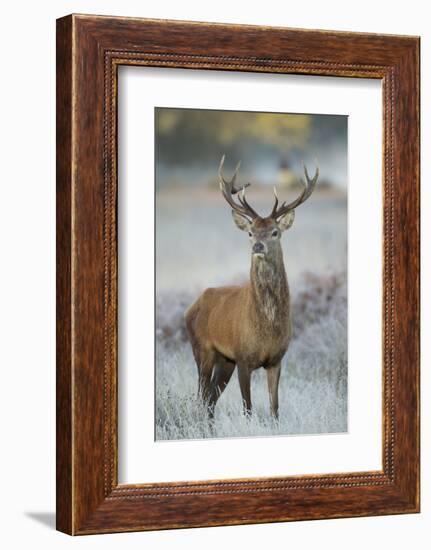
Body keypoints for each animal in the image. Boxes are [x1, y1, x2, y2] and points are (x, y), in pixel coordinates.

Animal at [184, 157, 318, 420]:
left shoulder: (276, 359)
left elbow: (275, 409)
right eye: (250, 232)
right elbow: (248, 408)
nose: (257, 246)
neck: (266, 328)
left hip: (225, 361)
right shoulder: (243, 357)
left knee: (210, 399)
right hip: (201, 349)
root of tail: (191, 306)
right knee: (201, 396)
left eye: (275, 232)